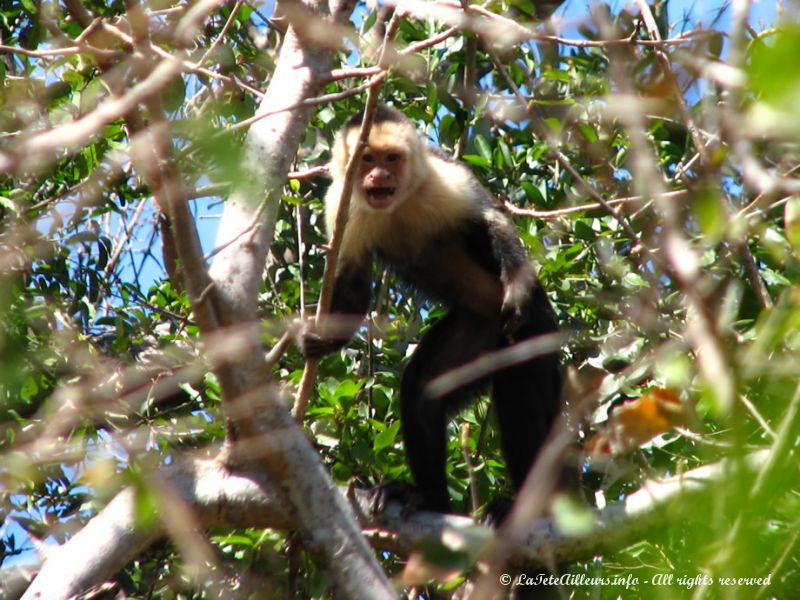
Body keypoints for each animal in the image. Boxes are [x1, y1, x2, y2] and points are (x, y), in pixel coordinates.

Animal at [302, 105, 564, 516]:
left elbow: (491, 220)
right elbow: (353, 288)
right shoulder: (339, 205)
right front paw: (323, 341)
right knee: (423, 387)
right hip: (479, 329)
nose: (380, 176)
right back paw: (428, 497)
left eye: (392, 158)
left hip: (533, 327)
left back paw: (522, 505)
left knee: (519, 392)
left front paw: (516, 286)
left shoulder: (444, 177)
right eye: (367, 159)